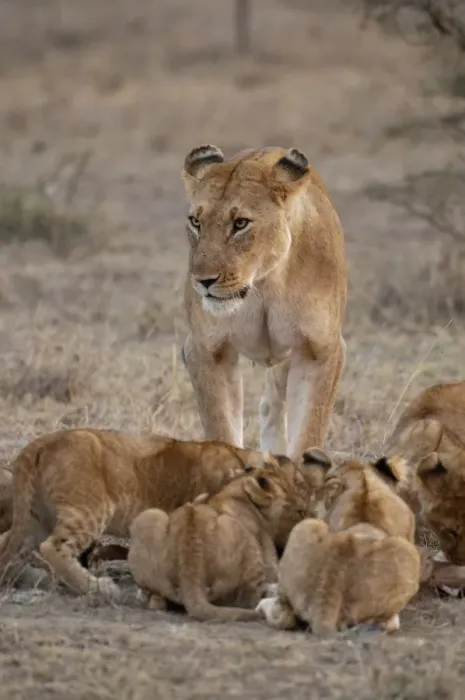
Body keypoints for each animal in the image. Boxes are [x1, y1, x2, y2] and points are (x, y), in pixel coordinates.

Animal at [0, 427, 287, 598]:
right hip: (89, 509)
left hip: (35, 520)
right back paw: (100, 588)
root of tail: (40, 443)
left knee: (11, 549)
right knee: (53, 547)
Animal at [127, 464, 304, 622]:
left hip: (149, 515)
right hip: (242, 536)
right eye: (286, 486)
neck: (236, 487)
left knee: (157, 600)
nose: (301, 505)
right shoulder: (267, 553)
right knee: (246, 600)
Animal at [180, 145, 347, 460]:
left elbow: (309, 433)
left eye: (240, 223)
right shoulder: (207, 351)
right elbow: (222, 431)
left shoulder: (320, 351)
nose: (202, 281)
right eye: (196, 222)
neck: (263, 284)